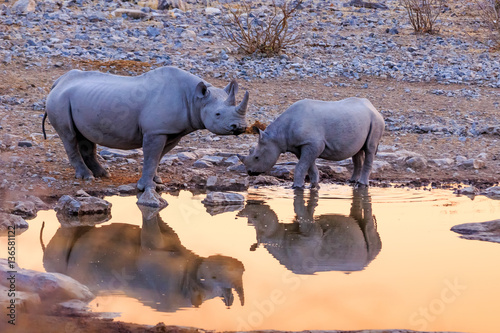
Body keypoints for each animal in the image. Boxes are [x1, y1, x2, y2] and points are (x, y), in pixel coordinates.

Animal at [43, 66, 248, 192]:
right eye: (218, 114)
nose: (241, 127)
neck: (195, 99)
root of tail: (58, 82)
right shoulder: (155, 131)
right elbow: (151, 156)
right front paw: (147, 188)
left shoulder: (171, 131)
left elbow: (158, 156)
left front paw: (156, 180)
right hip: (59, 101)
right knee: (69, 136)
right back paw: (87, 178)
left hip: (79, 101)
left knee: (85, 137)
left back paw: (103, 174)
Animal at [238, 97, 382, 188]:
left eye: (257, 157)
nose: (249, 172)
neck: (278, 136)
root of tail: (373, 107)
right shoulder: (301, 145)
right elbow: (309, 166)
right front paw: (313, 185)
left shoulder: (313, 144)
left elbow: (301, 166)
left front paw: (296, 187)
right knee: (357, 152)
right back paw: (352, 181)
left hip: (376, 120)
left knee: (370, 148)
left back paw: (361, 184)